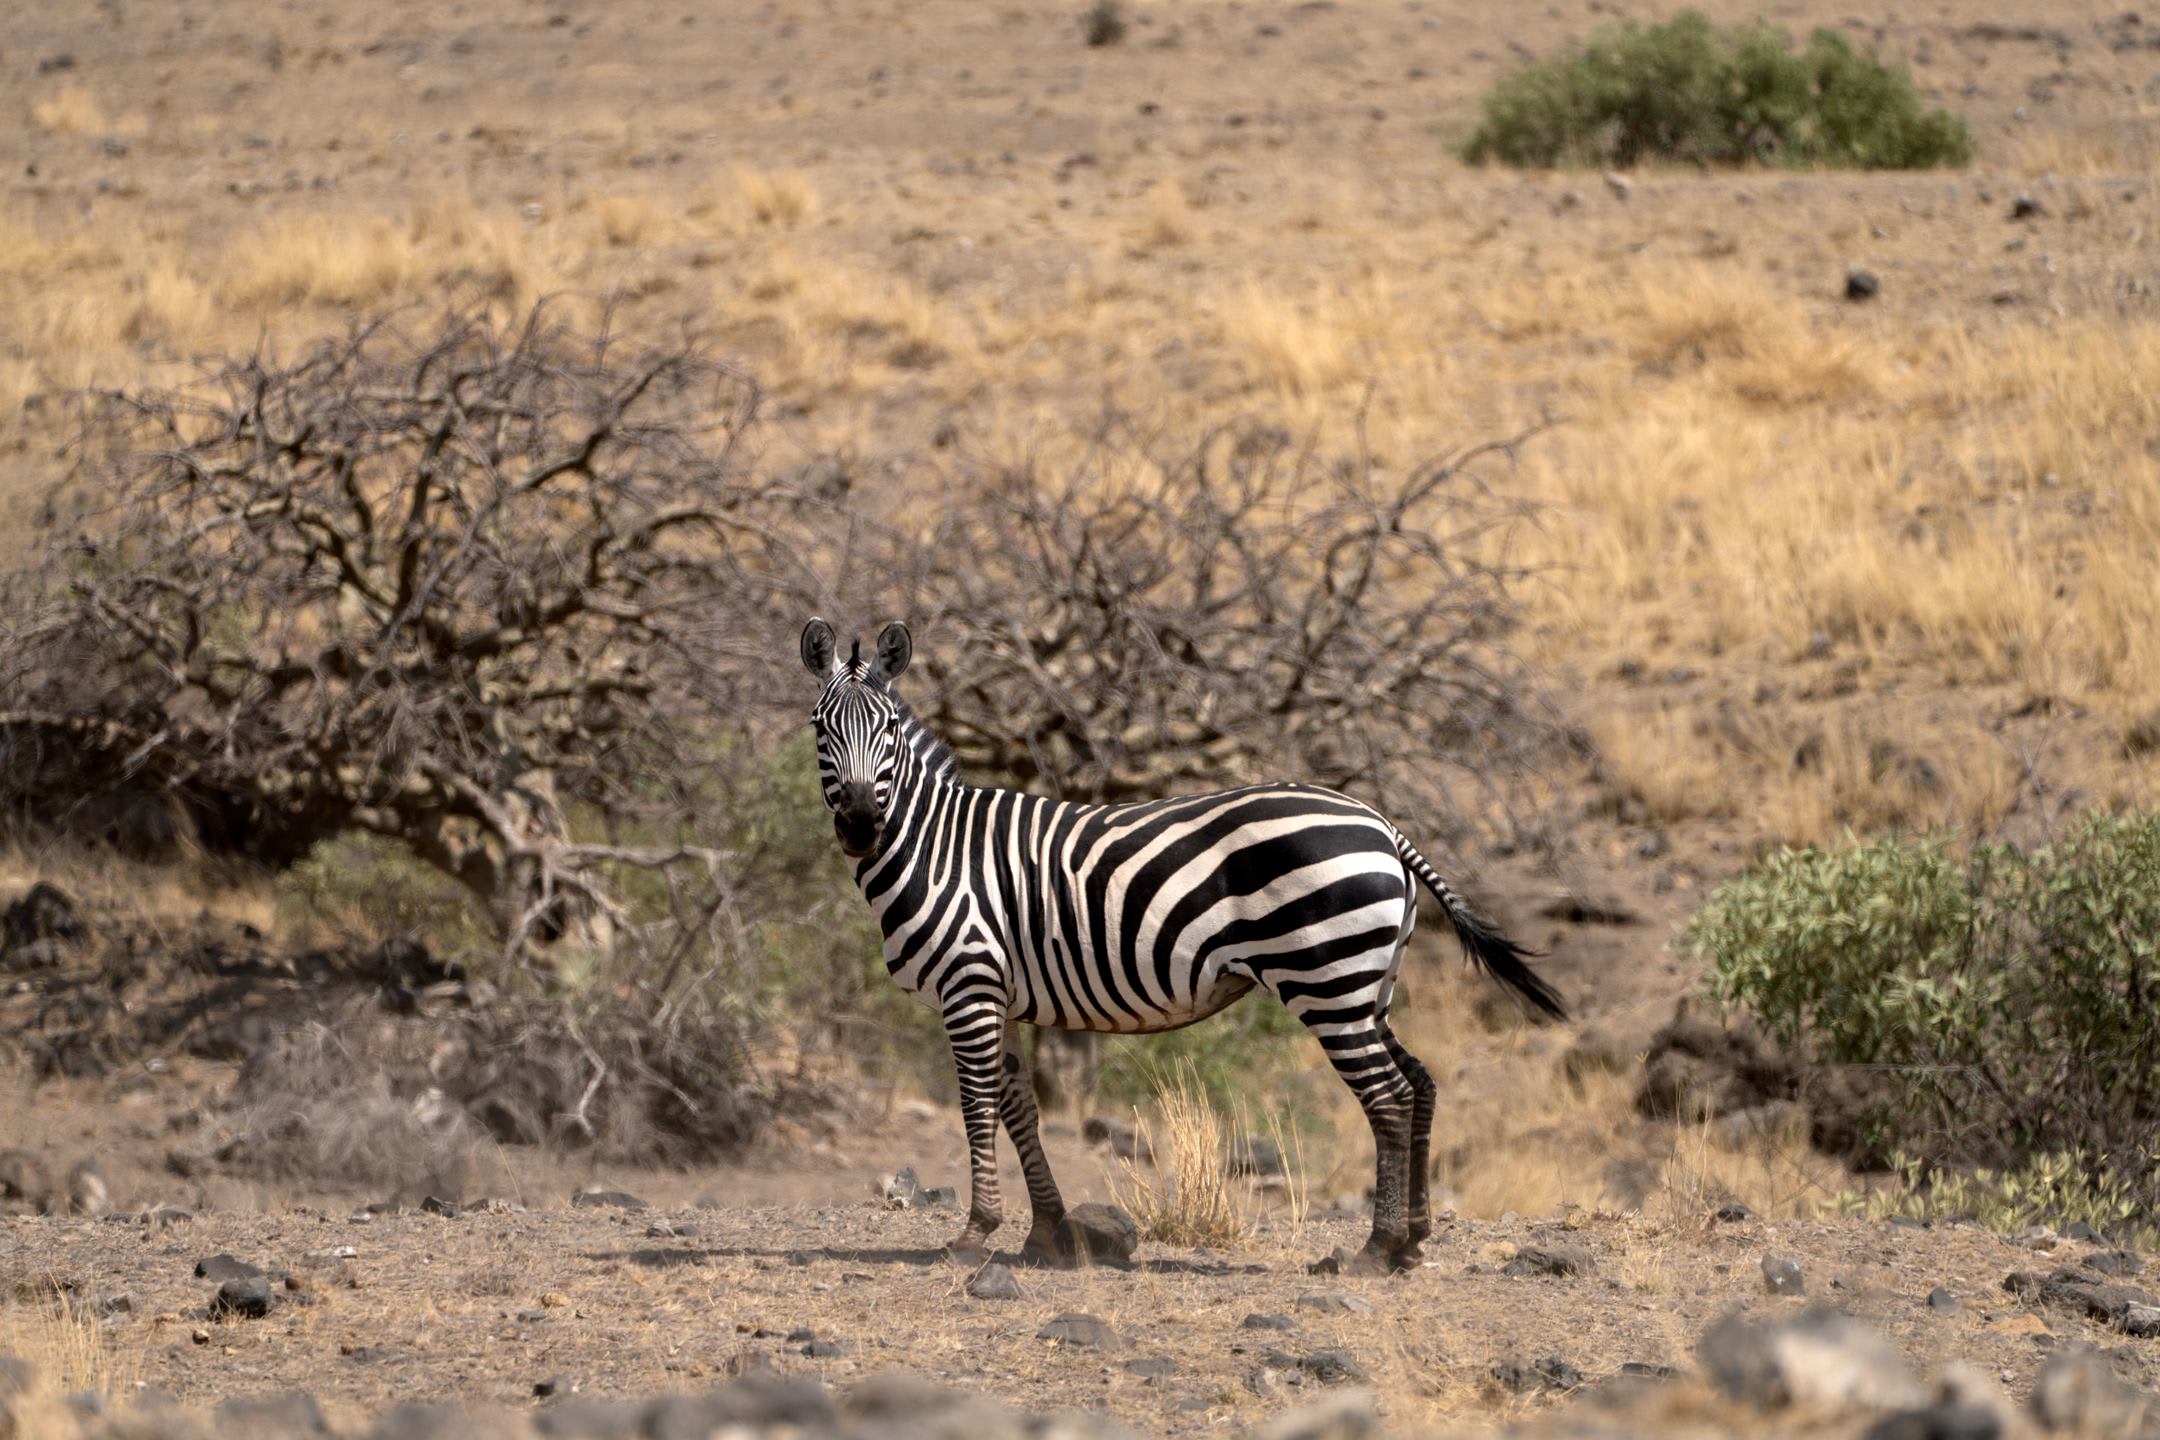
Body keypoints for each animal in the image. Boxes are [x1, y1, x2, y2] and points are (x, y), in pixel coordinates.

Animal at [800, 617, 1565, 1274]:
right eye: (820, 728)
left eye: (888, 729)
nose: (861, 824)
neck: (934, 846)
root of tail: (1383, 824)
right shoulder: (1002, 993)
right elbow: (1019, 1106)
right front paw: (1046, 1232)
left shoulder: (968, 984)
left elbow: (975, 1101)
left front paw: (975, 1233)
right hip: (1366, 983)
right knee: (1421, 1082)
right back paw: (1413, 1240)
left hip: (1327, 980)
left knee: (1389, 1097)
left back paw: (1375, 1250)